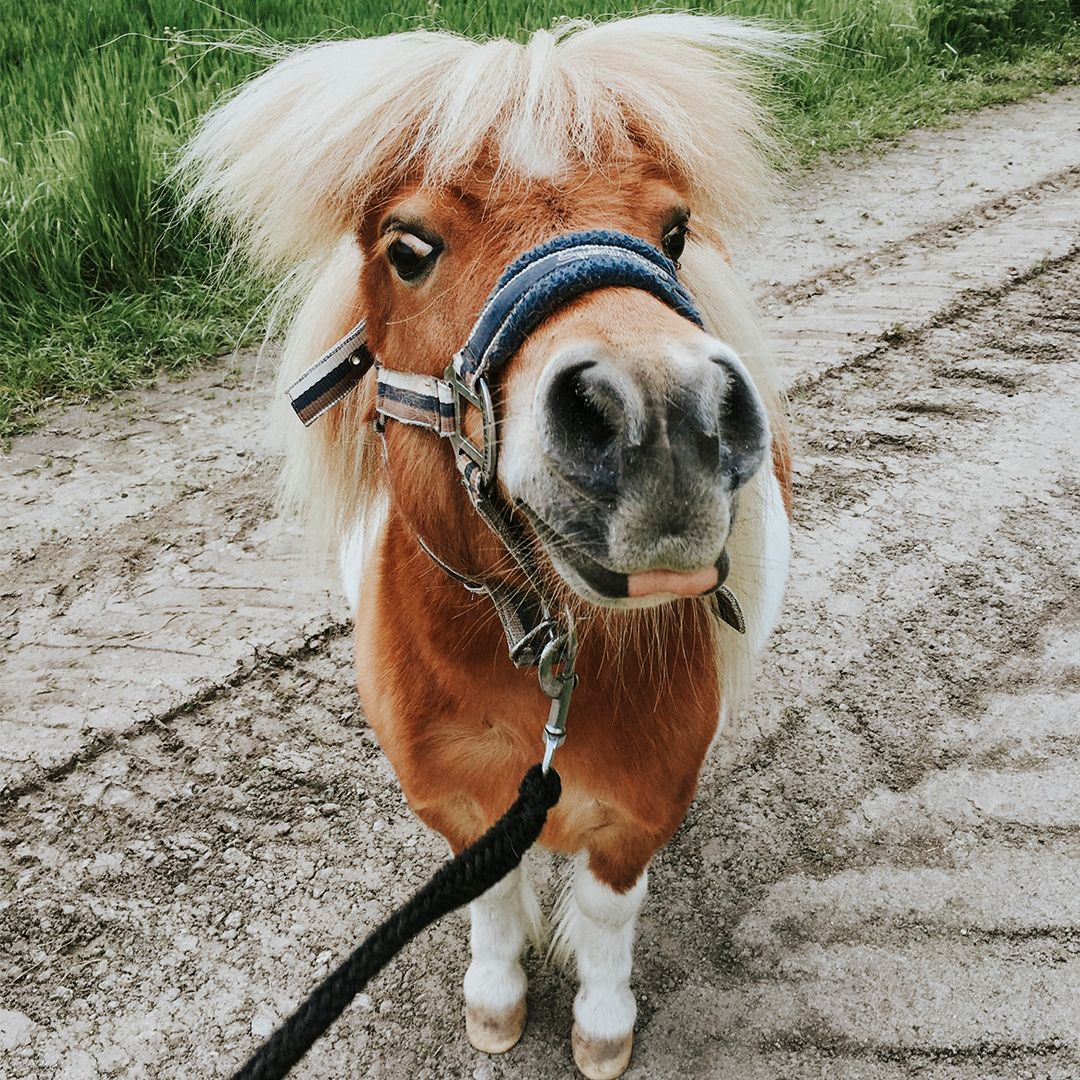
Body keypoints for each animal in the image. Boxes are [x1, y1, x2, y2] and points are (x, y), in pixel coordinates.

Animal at [182, 15, 792, 1079]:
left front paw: (601, 1026)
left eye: (674, 231)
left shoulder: (641, 808)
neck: (536, 670)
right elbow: (494, 898)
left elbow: (606, 914)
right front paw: (498, 1003)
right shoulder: (456, 807)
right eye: (409, 248)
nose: (666, 421)